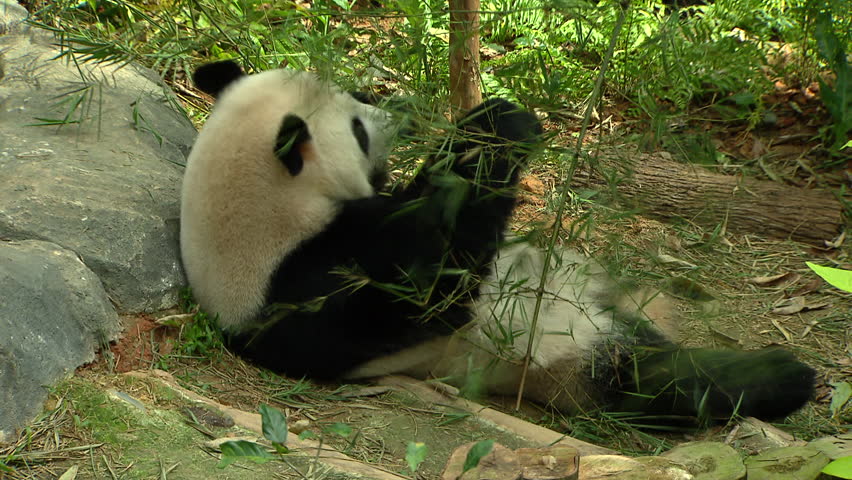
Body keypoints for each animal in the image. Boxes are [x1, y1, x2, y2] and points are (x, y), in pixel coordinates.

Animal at [180, 60, 815, 423]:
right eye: (358, 130)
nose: (394, 115)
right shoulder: (314, 290)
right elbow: (432, 285)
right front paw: (497, 125)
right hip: (567, 365)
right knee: (658, 384)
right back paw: (785, 379)